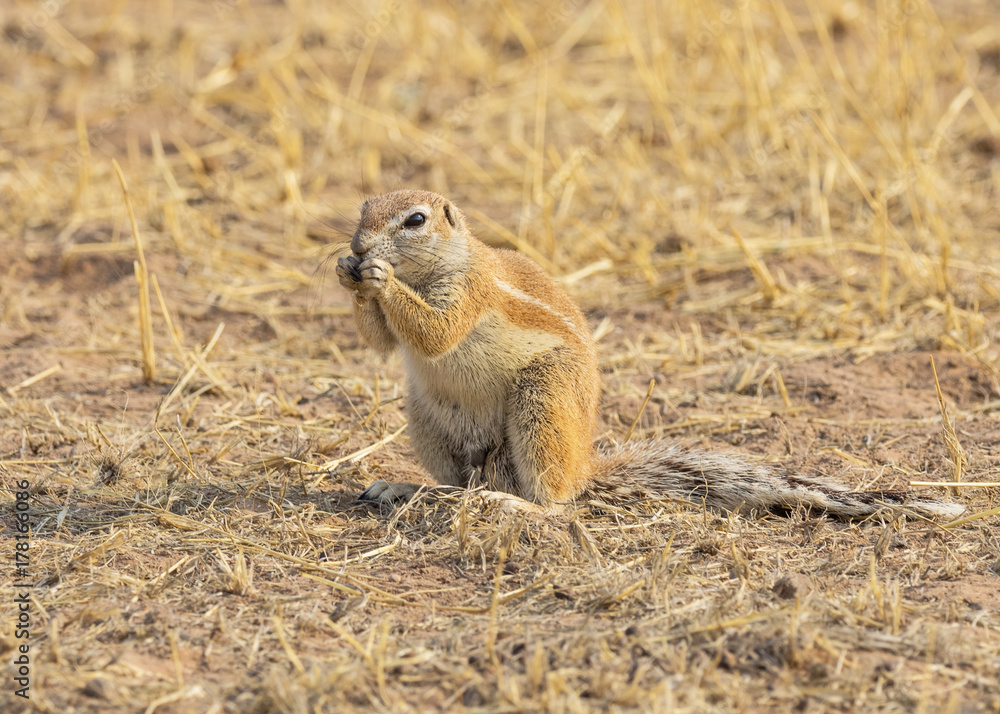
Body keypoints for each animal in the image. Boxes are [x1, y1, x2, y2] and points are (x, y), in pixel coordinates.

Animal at [334, 189, 964, 520]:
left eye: (415, 220)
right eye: (362, 206)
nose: (358, 246)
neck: (442, 263)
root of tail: (586, 464)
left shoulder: (469, 293)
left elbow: (436, 333)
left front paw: (379, 276)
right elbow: (383, 341)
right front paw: (348, 273)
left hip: (544, 399)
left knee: (556, 499)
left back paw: (517, 507)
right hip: (428, 417)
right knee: (459, 484)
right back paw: (405, 488)